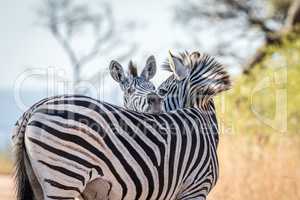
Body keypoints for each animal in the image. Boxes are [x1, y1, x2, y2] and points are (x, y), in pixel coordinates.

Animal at [11, 50, 231, 199]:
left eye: (159, 90)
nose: (155, 101)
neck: (201, 117)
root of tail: (33, 109)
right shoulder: (195, 187)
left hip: (40, 181)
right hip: (65, 176)